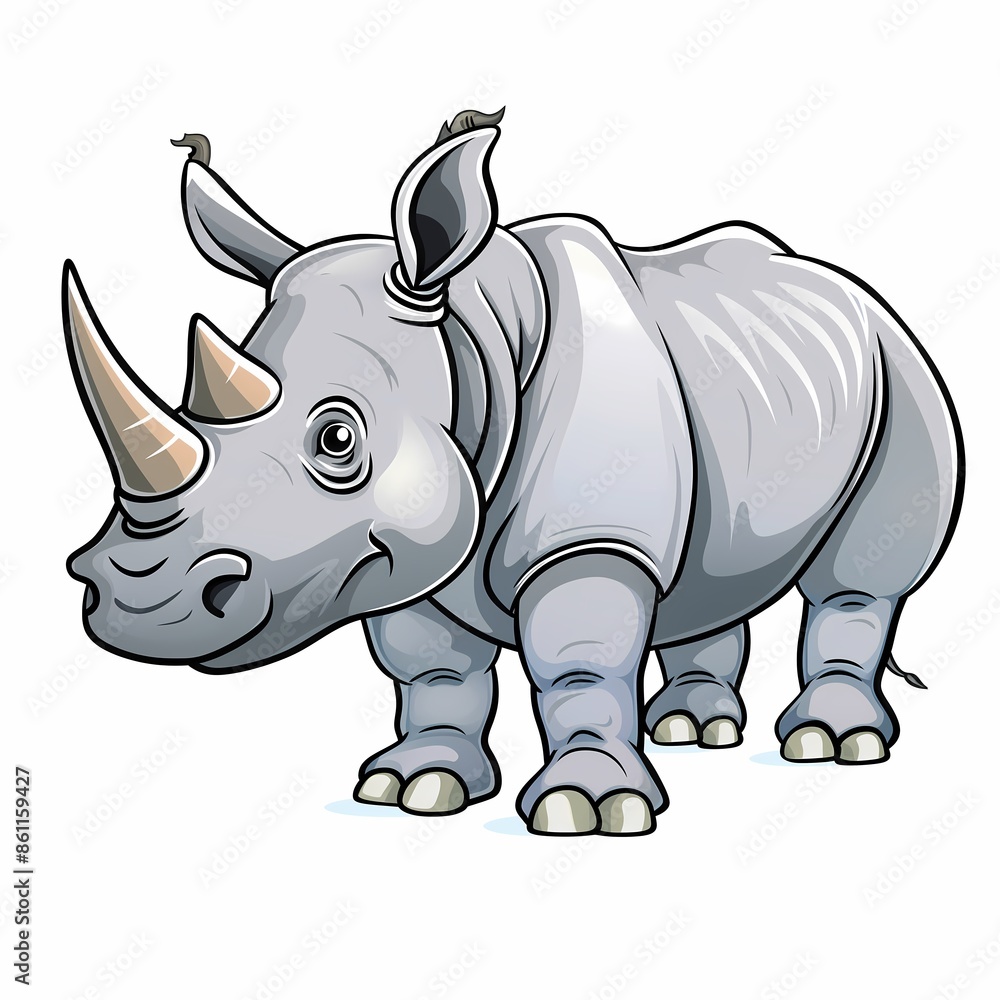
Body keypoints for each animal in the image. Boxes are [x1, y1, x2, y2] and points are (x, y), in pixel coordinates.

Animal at [64, 110, 963, 836]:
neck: (475, 335)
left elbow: (578, 658)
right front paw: (416, 786)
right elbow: (433, 669)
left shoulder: (592, 538)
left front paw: (589, 808)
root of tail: (846, 284)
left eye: (336, 438)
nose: (141, 601)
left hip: (900, 361)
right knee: (712, 569)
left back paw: (831, 743)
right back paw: (692, 730)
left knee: (858, 582)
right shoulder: (399, 554)